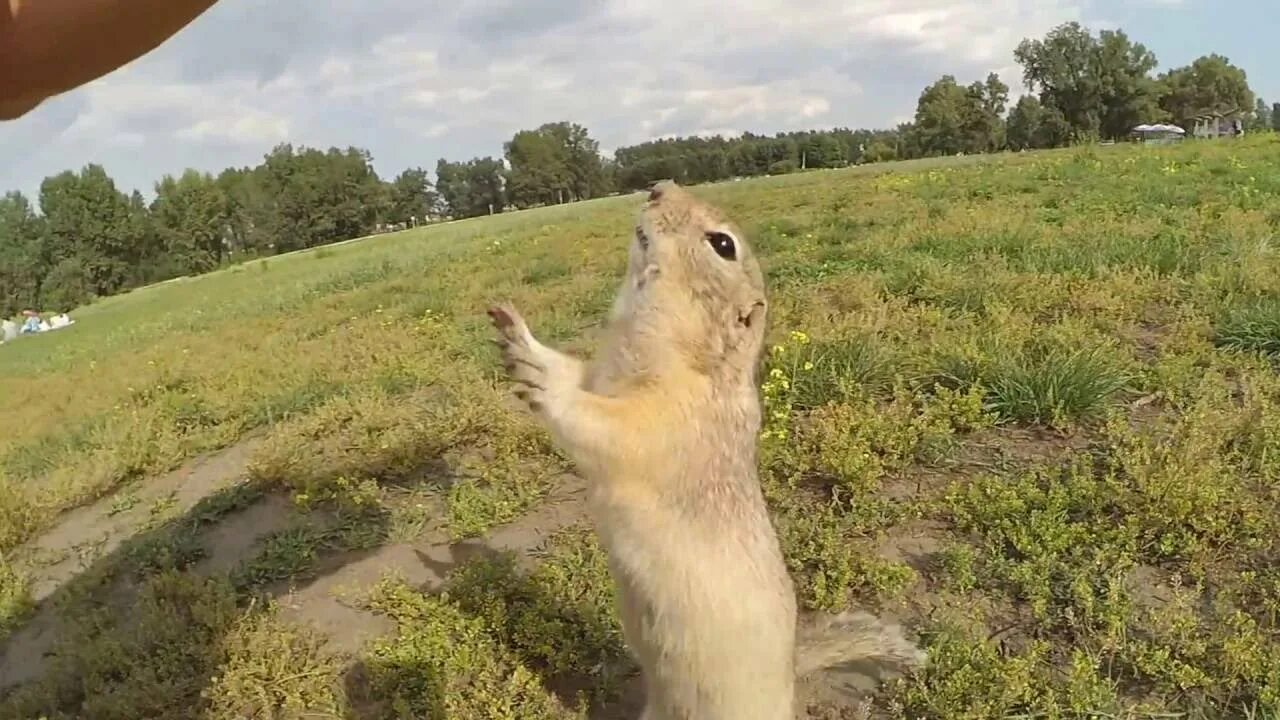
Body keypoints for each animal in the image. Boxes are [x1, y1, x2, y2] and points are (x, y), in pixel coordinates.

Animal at [486, 180, 921, 717]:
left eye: (722, 244)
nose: (657, 187)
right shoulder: (602, 376)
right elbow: (572, 374)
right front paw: (516, 338)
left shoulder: (671, 417)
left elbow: (606, 427)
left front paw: (541, 381)